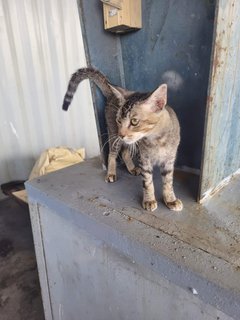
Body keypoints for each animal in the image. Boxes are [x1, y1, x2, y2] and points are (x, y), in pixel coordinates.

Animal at [62, 68, 182, 212]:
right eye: (119, 120)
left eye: (134, 121)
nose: (121, 134)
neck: (157, 140)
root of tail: (112, 94)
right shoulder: (144, 159)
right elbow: (147, 182)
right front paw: (149, 200)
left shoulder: (169, 160)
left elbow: (168, 182)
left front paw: (170, 199)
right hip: (114, 136)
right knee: (112, 153)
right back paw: (111, 173)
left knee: (124, 152)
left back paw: (132, 168)